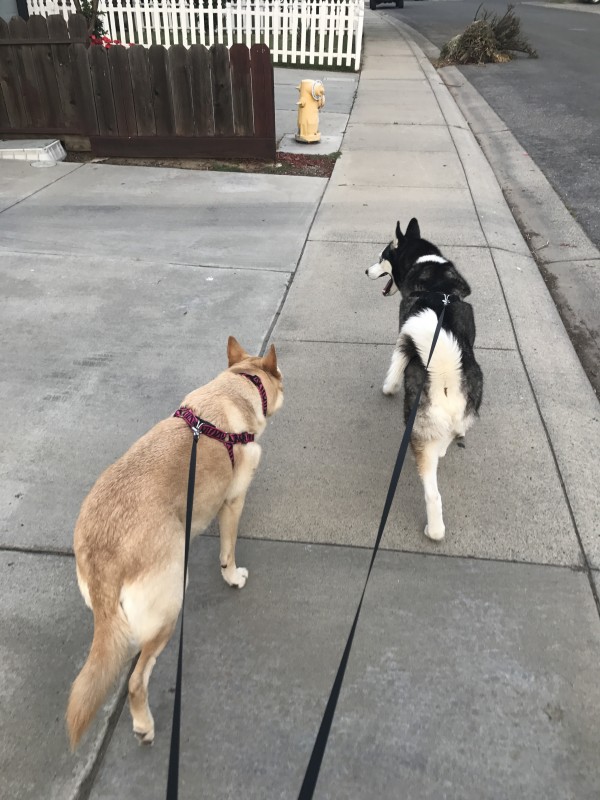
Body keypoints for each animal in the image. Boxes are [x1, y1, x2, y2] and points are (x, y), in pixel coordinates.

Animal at [66, 337, 283, 750]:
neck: (235, 386)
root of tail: (103, 557)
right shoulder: (233, 501)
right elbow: (228, 552)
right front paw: (232, 576)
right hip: (171, 598)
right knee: (137, 680)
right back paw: (143, 724)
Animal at [366, 218, 483, 541]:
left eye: (381, 257)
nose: (366, 271)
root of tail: (444, 375)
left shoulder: (403, 336)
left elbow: (395, 366)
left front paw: (388, 388)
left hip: (416, 423)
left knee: (433, 492)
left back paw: (435, 530)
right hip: (470, 400)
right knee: (453, 433)